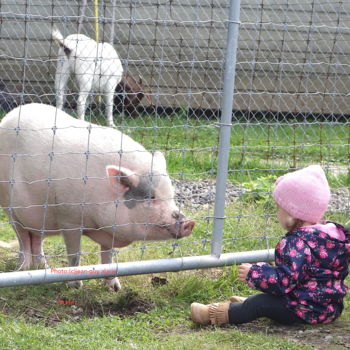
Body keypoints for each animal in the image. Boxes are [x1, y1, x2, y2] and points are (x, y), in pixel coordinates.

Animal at [0, 103, 194, 290]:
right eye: (151, 197)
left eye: (171, 195)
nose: (189, 222)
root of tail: (11, 115)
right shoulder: (69, 219)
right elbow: (75, 253)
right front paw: (76, 286)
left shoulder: (109, 229)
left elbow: (108, 255)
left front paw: (115, 288)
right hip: (10, 207)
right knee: (23, 238)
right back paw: (22, 269)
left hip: (39, 215)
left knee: (36, 238)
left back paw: (42, 268)